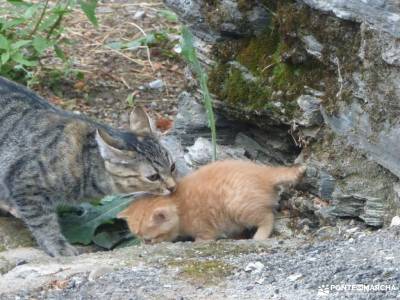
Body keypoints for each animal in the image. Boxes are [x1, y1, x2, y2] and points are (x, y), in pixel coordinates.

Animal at [0, 76, 177, 256]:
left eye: (172, 166)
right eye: (153, 177)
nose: (173, 187)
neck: (84, 162)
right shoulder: (26, 185)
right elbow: (44, 223)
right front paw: (58, 247)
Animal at [117, 159, 304, 244]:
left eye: (150, 239)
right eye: (139, 237)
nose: (145, 245)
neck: (179, 206)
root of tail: (264, 172)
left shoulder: (205, 231)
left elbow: (202, 240)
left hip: (238, 206)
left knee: (268, 217)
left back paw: (259, 236)